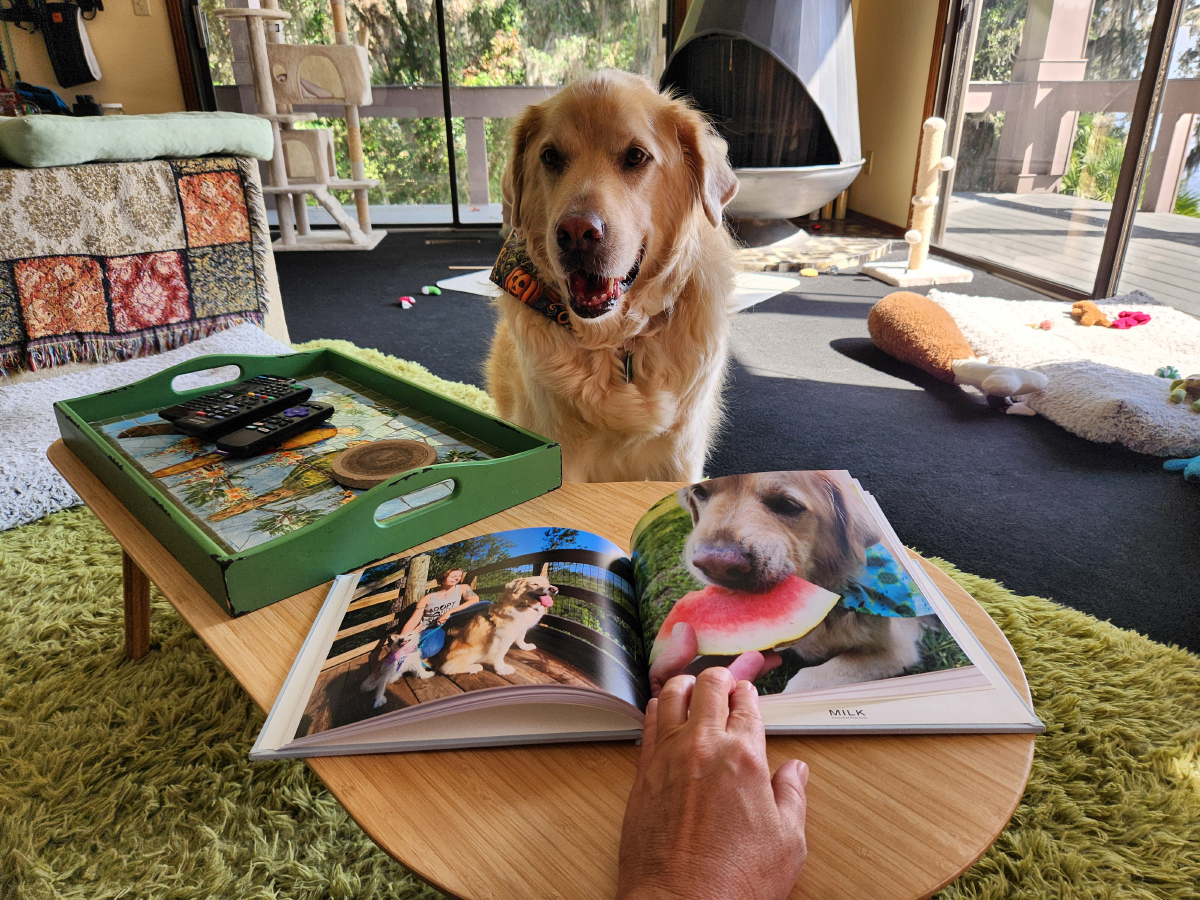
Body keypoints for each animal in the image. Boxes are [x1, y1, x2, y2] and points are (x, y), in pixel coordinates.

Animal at [487, 70, 739, 482]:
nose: (576, 234)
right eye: (551, 157)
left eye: (636, 156)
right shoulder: (562, 459)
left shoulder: (680, 463)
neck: (617, 341)